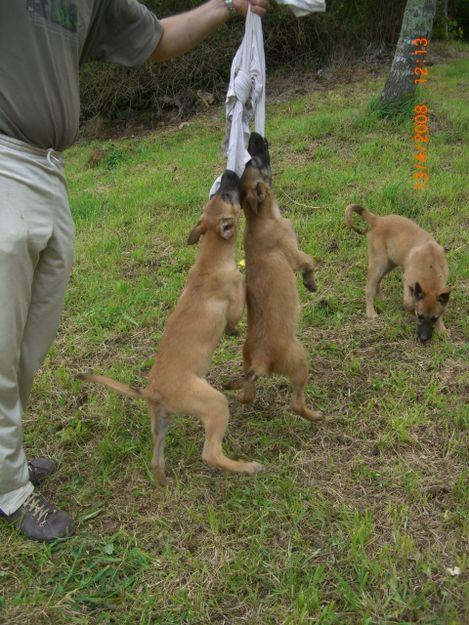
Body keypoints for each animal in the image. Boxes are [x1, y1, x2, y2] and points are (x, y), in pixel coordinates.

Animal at [81, 172, 264, 488]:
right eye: (227, 195)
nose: (228, 174)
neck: (210, 260)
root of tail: (152, 390)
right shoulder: (233, 307)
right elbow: (236, 310)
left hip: (161, 421)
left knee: (156, 459)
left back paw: (163, 481)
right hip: (214, 404)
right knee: (211, 453)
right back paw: (246, 467)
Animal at [226, 133, 322, 422]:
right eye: (254, 161)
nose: (255, 136)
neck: (260, 217)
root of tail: (260, 360)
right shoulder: (294, 253)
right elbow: (309, 262)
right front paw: (310, 283)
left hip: (247, 364)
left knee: (247, 393)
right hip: (300, 361)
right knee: (296, 403)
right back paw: (315, 415)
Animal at [344, 204, 450, 342]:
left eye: (434, 318)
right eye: (420, 316)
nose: (424, 338)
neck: (431, 269)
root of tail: (377, 220)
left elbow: (441, 308)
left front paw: (441, 329)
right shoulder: (408, 281)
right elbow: (409, 303)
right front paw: (411, 312)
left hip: (389, 263)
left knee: (378, 282)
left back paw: (381, 298)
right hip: (378, 264)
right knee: (369, 288)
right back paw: (371, 312)